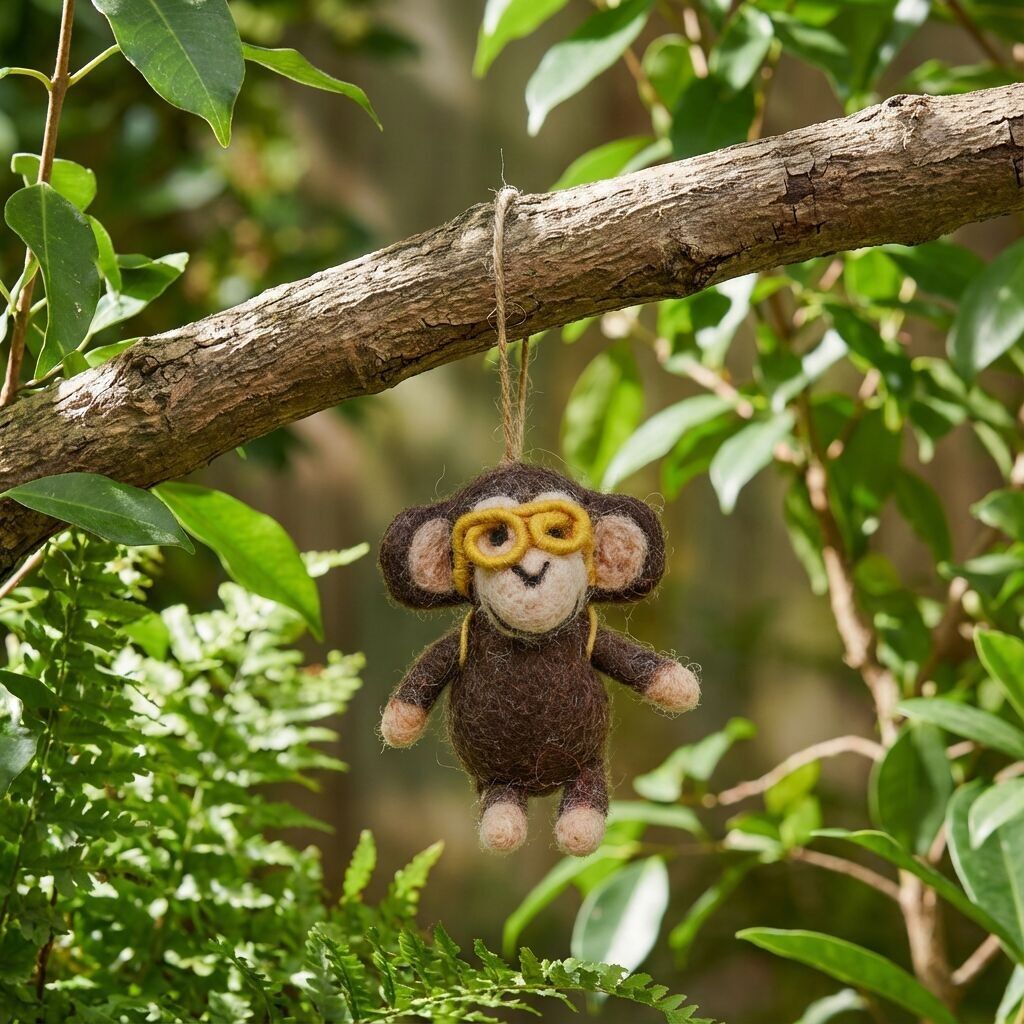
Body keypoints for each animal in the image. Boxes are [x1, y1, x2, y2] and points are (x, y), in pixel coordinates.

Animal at [378, 462, 700, 857]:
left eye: (557, 532)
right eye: (497, 537)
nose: (532, 572)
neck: (532, 643)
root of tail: (541, 784)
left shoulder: (588, 636)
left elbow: (638, 663)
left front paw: (682, 686)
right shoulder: (463, 642)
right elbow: (426, 671)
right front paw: (398, 723)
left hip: (587, 762)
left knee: (586, 790)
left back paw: (579, 827)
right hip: (497, 775)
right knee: (502, 799)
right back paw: (503, 826)